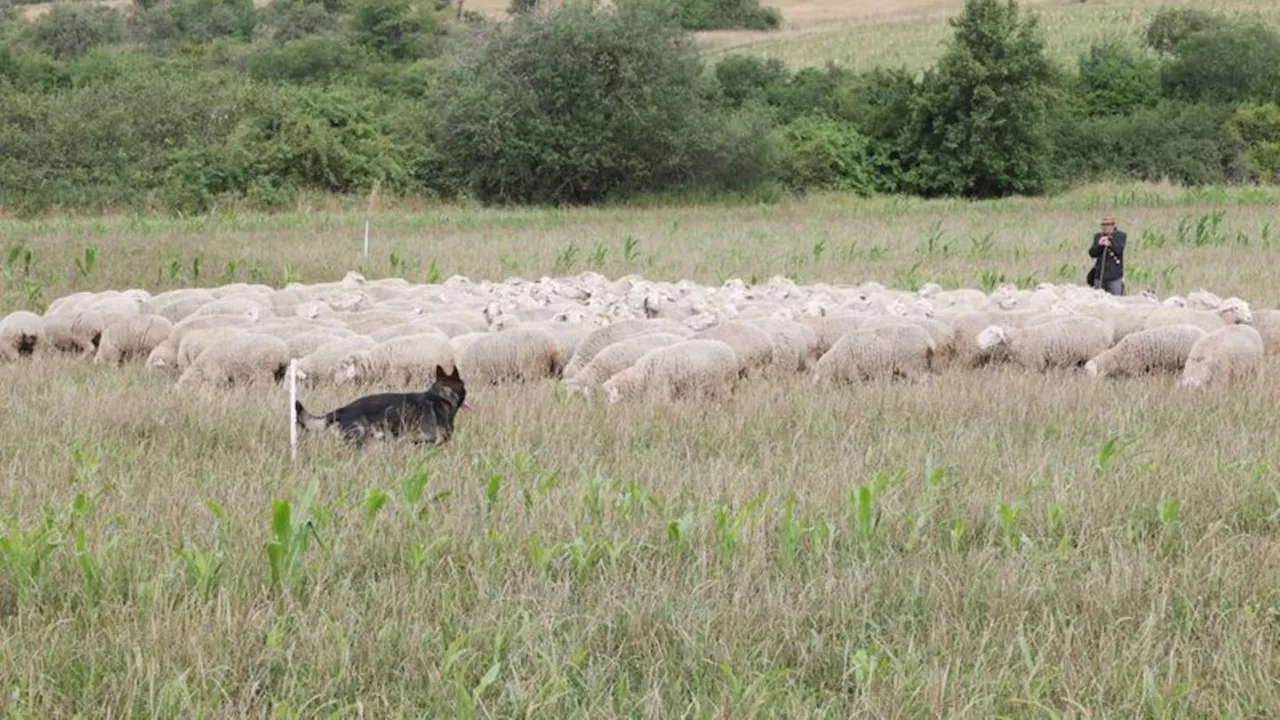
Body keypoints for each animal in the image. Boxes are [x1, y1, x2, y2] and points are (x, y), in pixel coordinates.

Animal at [972, 313, 1116, 368]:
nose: (977, 343)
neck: (1019, 337)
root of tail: (1108, 331)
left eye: (993, 334)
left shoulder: (1035, 363)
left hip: (1095, 351)